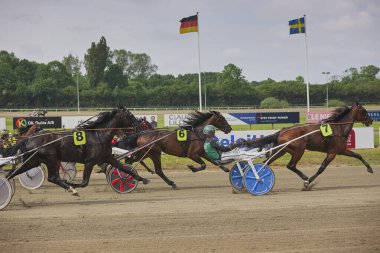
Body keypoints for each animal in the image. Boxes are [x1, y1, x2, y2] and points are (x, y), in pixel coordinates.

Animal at [4, 105, 150, 197]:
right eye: (130, 115)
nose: (139, 127)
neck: (99, 135)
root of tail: (30, 138)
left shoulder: (108, 157)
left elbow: (124, 169)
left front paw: (140, 179)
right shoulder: (90, 161)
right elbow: (85, 183)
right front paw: (71, 184)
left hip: (34, 161)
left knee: (13, 173)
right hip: (51, 159)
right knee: (52, 177)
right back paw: (70, 189)